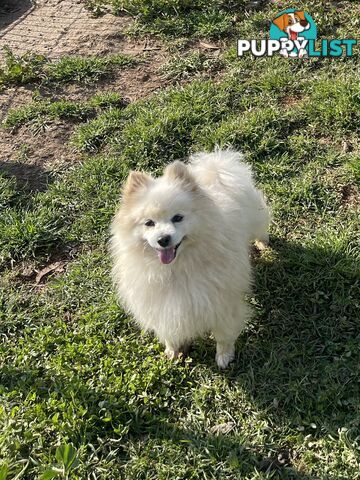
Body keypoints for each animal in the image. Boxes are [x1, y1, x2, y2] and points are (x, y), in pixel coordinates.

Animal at [110, 149, 270, 368]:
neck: (177, 268)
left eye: (178, 218)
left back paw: (263, 244)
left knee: (262, 229)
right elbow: (169, 332)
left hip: (256, 217)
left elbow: (223, 335)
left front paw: (224, 356)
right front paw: (172, 351)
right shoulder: (161, 306)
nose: (163, 239)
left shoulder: (222, 302)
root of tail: (216, 168)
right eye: (149, 223)